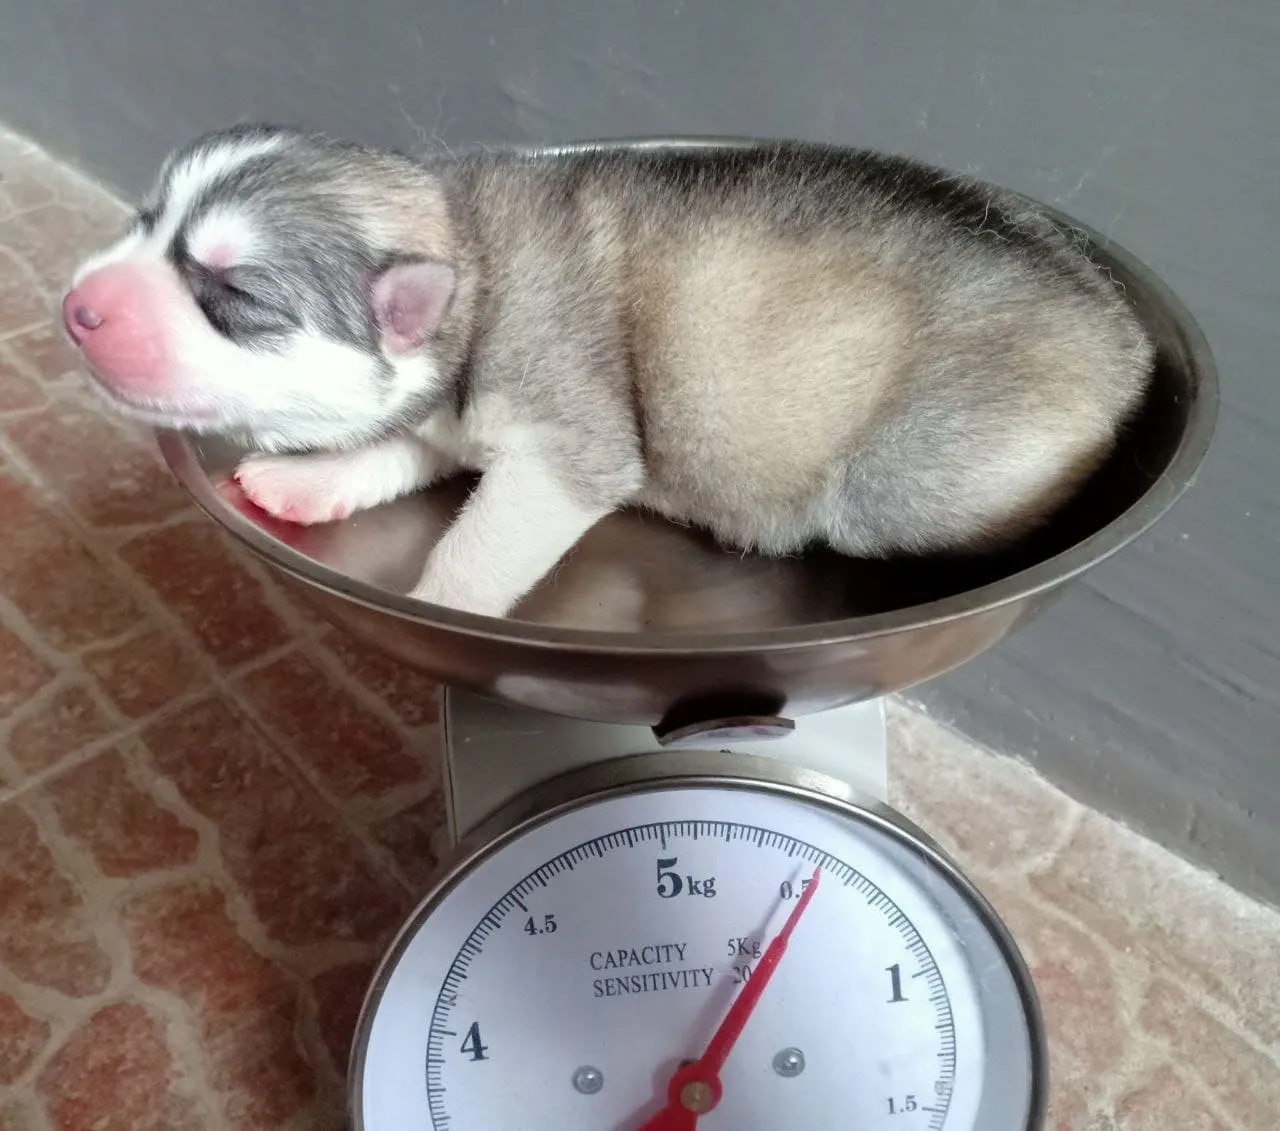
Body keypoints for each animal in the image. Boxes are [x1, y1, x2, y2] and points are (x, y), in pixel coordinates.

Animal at [60, 127, 1152, 619]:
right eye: (146, 221)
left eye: (231, 291)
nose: (77, 308)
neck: (472, 265)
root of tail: (1125, 336)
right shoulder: (449, 410)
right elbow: (405, 444)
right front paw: (313, 478)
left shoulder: (566, 439)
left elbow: (484, 539)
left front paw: (447, 607)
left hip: (906, 478)